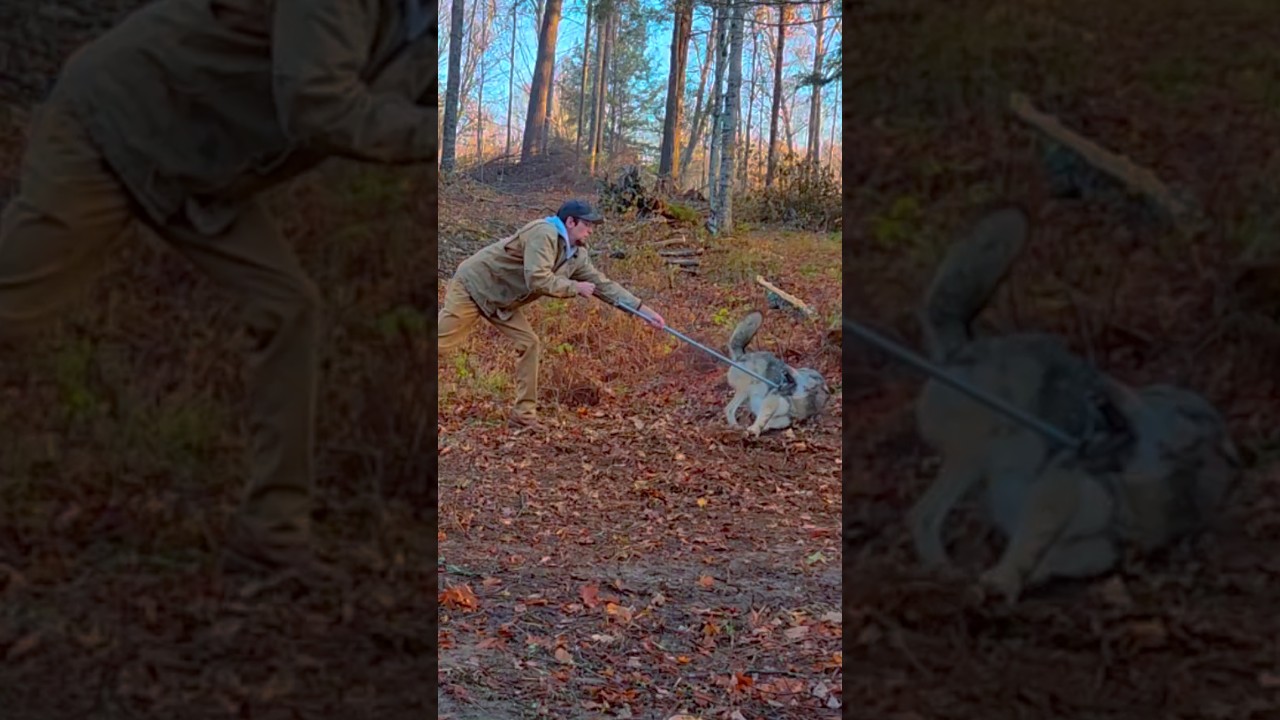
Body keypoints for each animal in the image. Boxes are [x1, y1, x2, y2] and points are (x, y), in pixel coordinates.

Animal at [910, 204, 1240, 603]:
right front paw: (1002, 580)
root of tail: (961, 349)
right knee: (923, 516)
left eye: (1154, 397)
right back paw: (944, 573)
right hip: (976, 457)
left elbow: (1059, 558)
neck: (1139, 496)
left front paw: (1022, 580)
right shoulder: (1057, 488)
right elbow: (1027, 546)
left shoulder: (1099, 546)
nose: (1099, 383)